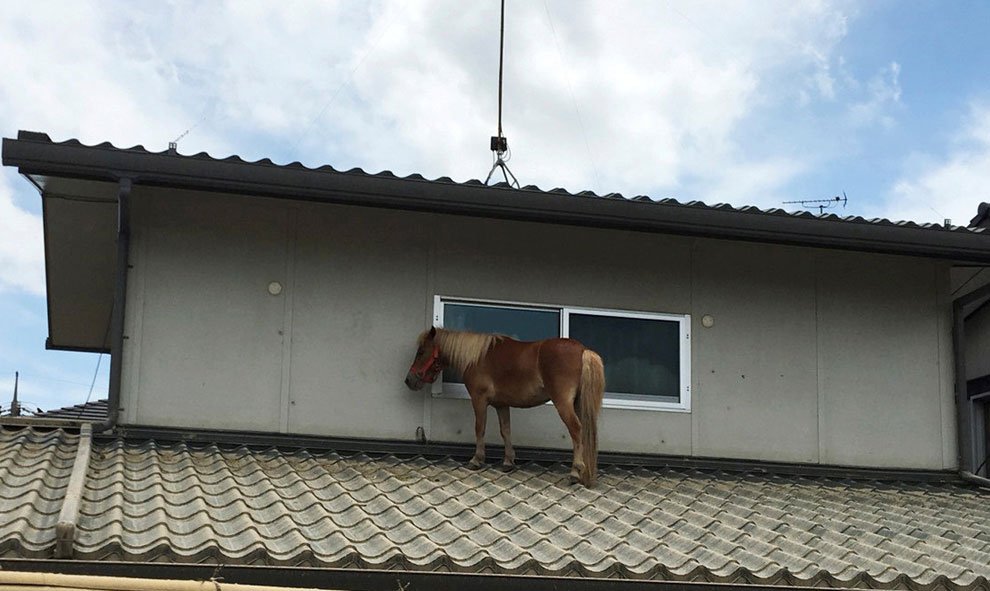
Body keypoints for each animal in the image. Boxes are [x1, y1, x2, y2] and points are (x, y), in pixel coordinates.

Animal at [404, 328, 604, 486]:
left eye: (421, 352)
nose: (409, 381)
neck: (477, 357)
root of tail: (583, 350)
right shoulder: (501, 405)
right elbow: (505, 430)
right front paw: (508, 461)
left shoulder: (479, 399)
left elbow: (480, 428)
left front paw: (477, 459)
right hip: (577, 404)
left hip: (563, 404)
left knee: (576, 430)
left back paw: (575, 472)